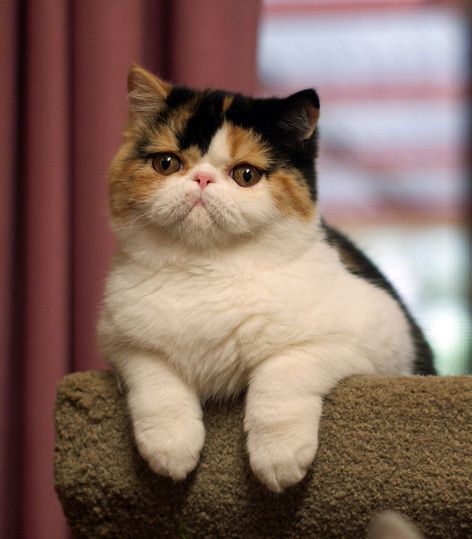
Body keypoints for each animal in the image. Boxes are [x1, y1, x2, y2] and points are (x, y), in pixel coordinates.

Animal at [99, 64, 436, 494]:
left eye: (246, 174)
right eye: (167, 164)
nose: (202, 179)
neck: (207, 271)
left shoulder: (379, 336)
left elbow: (284, 368)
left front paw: (278, 454)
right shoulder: (122, 339)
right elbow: (155, 377)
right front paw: (170, 445)